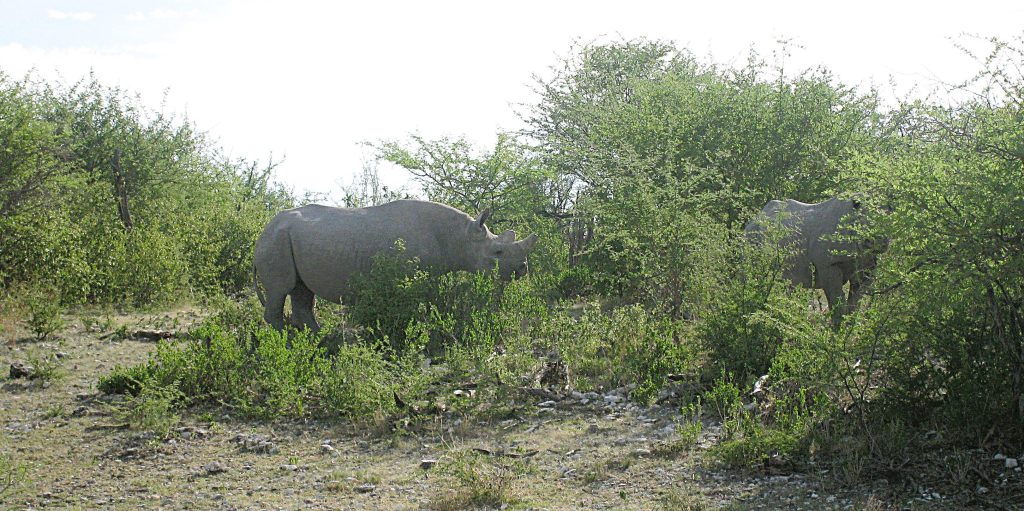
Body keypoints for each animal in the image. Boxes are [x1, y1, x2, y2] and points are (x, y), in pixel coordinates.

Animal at [253, 199, 538, 331]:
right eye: (498, 252)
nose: (523, 268)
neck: (460, 236)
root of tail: (263, 231)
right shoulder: (412, 276)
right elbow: (419, 305)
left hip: (287, 239)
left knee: (302, 291)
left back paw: (316, 338)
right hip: (276, 240)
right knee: (281, 289)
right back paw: (285, 340)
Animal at [744, 196, 880, 324]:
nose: (875, 242)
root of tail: (755, 217)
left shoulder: (867, 266)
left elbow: (855, 302)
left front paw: (847, 328)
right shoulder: (828, 264)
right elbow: (836, 300)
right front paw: (836, 331)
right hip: (751, 235)